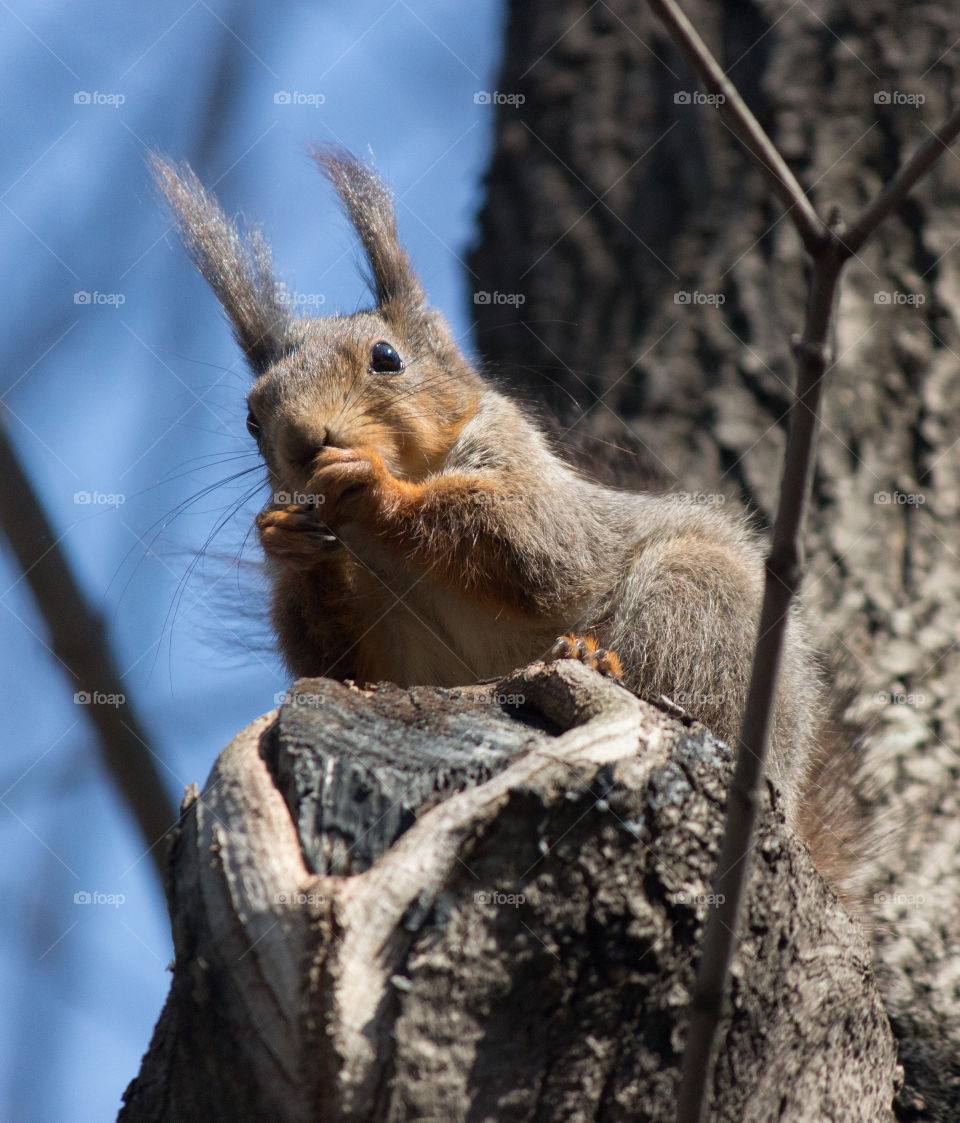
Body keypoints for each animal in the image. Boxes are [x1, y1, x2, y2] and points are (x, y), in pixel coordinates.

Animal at [153, 147, 832, 835]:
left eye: (386, 357)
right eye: (251, 418)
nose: (301, 441)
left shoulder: (519, 459)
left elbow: (534, 544)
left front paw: (375, 489)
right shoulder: (386, 648)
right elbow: (339, 663)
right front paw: (285, 541)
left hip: (701, 601)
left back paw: (593, 656)